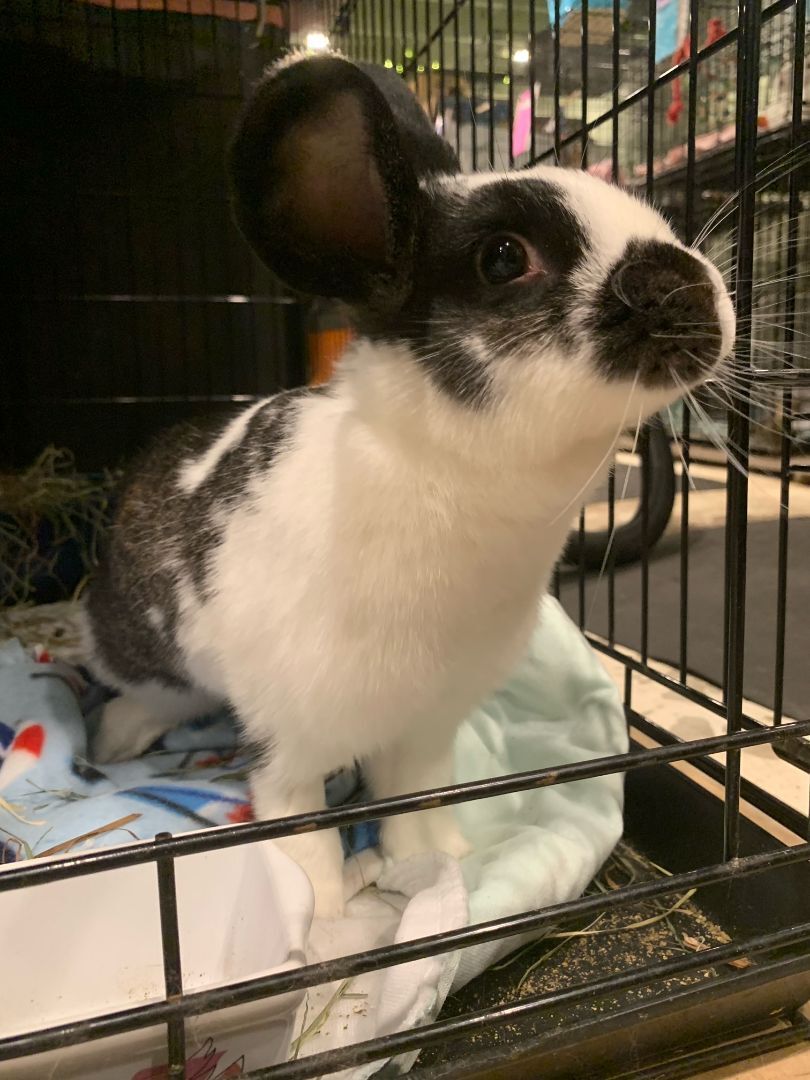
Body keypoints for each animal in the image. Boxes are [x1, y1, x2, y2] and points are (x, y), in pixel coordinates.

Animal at [84, 52, 735, 917]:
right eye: (504, 258)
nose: (697, 293)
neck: (455, 476)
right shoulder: (291, 748)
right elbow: (301, 837)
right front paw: (330, 918)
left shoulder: (424, 731)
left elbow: (416, 807)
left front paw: (442, 864)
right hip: (148, 654)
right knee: (146, 694)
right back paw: (109, 743)